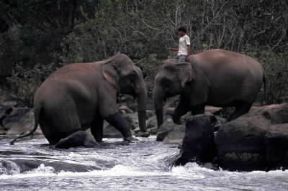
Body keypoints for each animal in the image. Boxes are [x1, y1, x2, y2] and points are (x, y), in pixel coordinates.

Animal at [10, 53, 147, 147]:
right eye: (132, 75)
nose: (143, 134)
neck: (107, 61)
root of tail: (38, 101)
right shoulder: (104, 87)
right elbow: (108, 112)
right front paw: (131, 139)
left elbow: (97, 120)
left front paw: (100, 141)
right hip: (62, 107)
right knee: (71, 130)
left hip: (46, 115)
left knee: (52, 137)